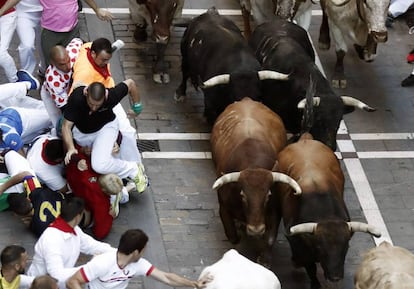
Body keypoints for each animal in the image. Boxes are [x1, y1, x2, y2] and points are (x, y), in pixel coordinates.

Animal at [210, 97, 300, 264]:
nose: (256, 230)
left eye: (268, 196)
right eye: (243, 196)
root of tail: (247, 100)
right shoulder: (223, 207)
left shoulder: (274, 210)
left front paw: (264, 259)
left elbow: (270, 239)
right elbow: (233, 236)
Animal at [274, 132, 380, 286]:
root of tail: (305, 140)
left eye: (346, 247)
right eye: (319, 247)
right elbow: (310, 268)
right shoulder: (300, 245)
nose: (335, 277)